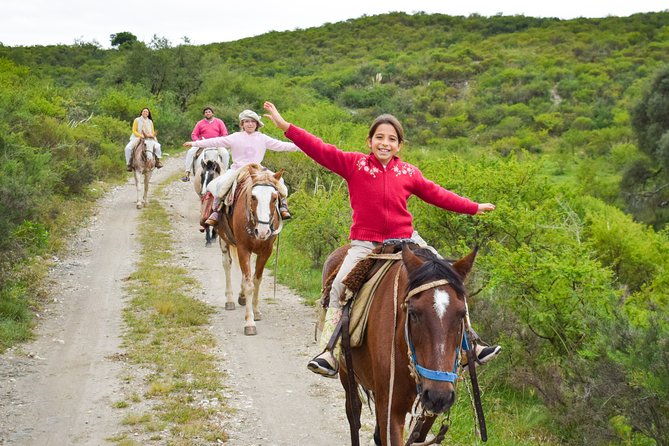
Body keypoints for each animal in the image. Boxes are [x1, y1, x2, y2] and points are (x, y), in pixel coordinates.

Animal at [213, 163, 284, 336]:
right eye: (253, 197)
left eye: (274, 198)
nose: (263, 231)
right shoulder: (243, 249)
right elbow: (249, 284)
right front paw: (249, 322)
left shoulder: (266, 252)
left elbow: (256, 281)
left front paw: (256, 312)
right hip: (224, 240)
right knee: (227, 265)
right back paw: (230, 300)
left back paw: (242, 297)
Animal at [322, 244, 477, 445]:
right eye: (413, 313)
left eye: (461, 314)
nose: (438, 396)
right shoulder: (391, 409)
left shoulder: (428, 410)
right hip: (346, 372)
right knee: (354, 413)